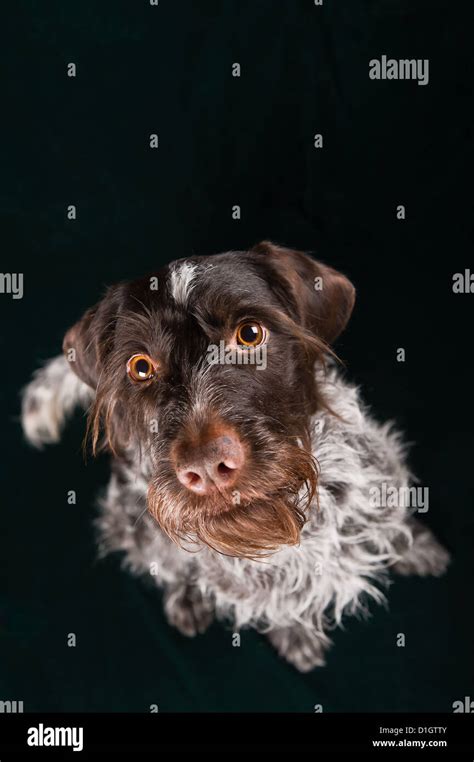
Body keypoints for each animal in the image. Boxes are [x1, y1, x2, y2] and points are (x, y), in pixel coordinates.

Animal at [20, 240, 450, 668]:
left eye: (250, 334)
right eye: (140, 367)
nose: (207, 466)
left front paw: (413, 545)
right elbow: (274, 602)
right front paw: (294, 634)